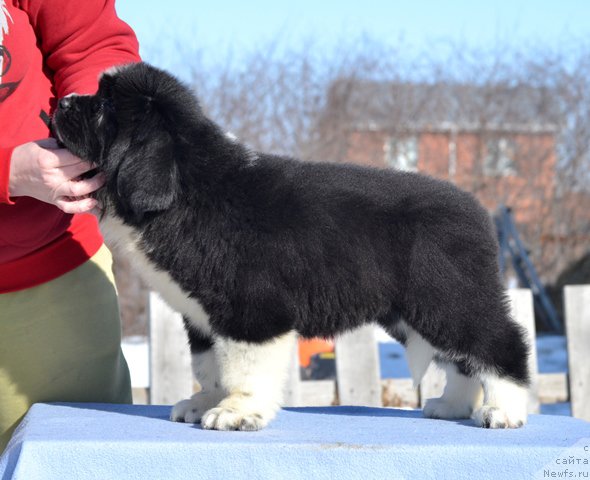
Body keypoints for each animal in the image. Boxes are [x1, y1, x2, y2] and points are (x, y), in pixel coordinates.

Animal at [52, 61, 532, 432]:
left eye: (105, 107)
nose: (60, 103)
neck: (187, 191)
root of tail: (477, 209)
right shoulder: (202, 316)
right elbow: (210, 366)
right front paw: (205, 402)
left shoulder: (250, 311)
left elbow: (243, 367)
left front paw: (235, 413)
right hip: (415, 312)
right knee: (462, 358)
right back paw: (453, 406)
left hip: (448, 298)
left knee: (498, 343)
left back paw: (503, 410)